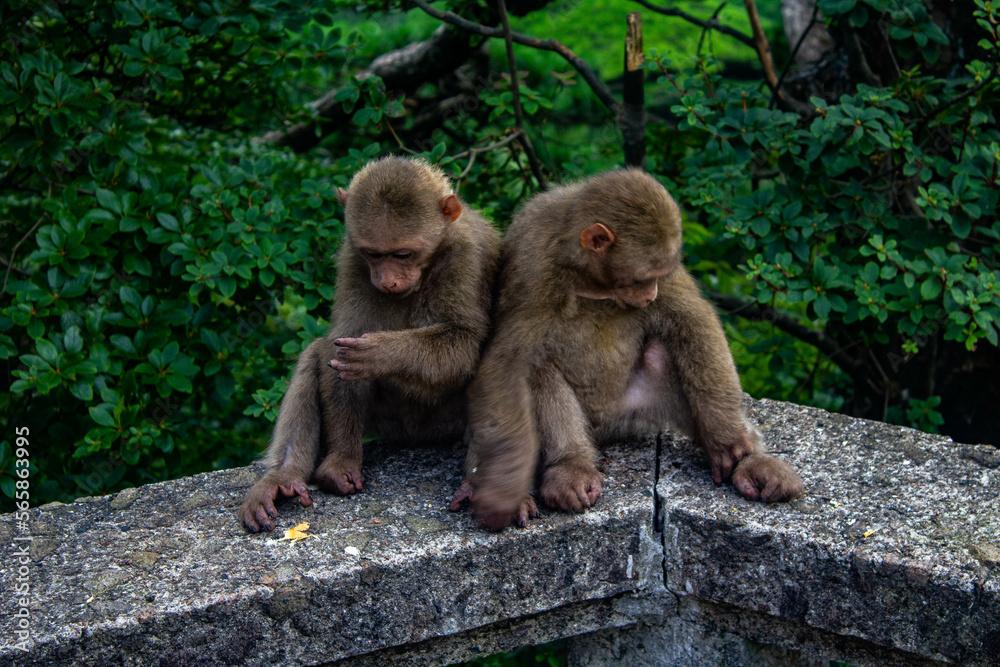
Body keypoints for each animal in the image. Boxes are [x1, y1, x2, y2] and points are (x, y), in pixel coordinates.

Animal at [240, 156, 500, 532]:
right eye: (375, 254)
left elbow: (465, 343)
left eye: (403, 254)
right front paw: (341, 461)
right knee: (316, 353)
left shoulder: (467, 256)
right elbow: (339, 344)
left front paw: (382, 353)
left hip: (444, 424)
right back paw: (287, 475)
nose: (388, 280)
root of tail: (414, 439)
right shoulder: (352, 257)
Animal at [450, 169, 804, 530]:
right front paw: (502, 489)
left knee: (667, 348)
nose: (649, 296)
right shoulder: (530, 260)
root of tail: (603, 425)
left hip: (638, 412)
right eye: (639, 279)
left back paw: (750, 463)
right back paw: (569, 467)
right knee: (537, 366)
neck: (588, 275)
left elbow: (691, 317)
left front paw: (727, 439)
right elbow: (507, 358)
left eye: (657, 276)